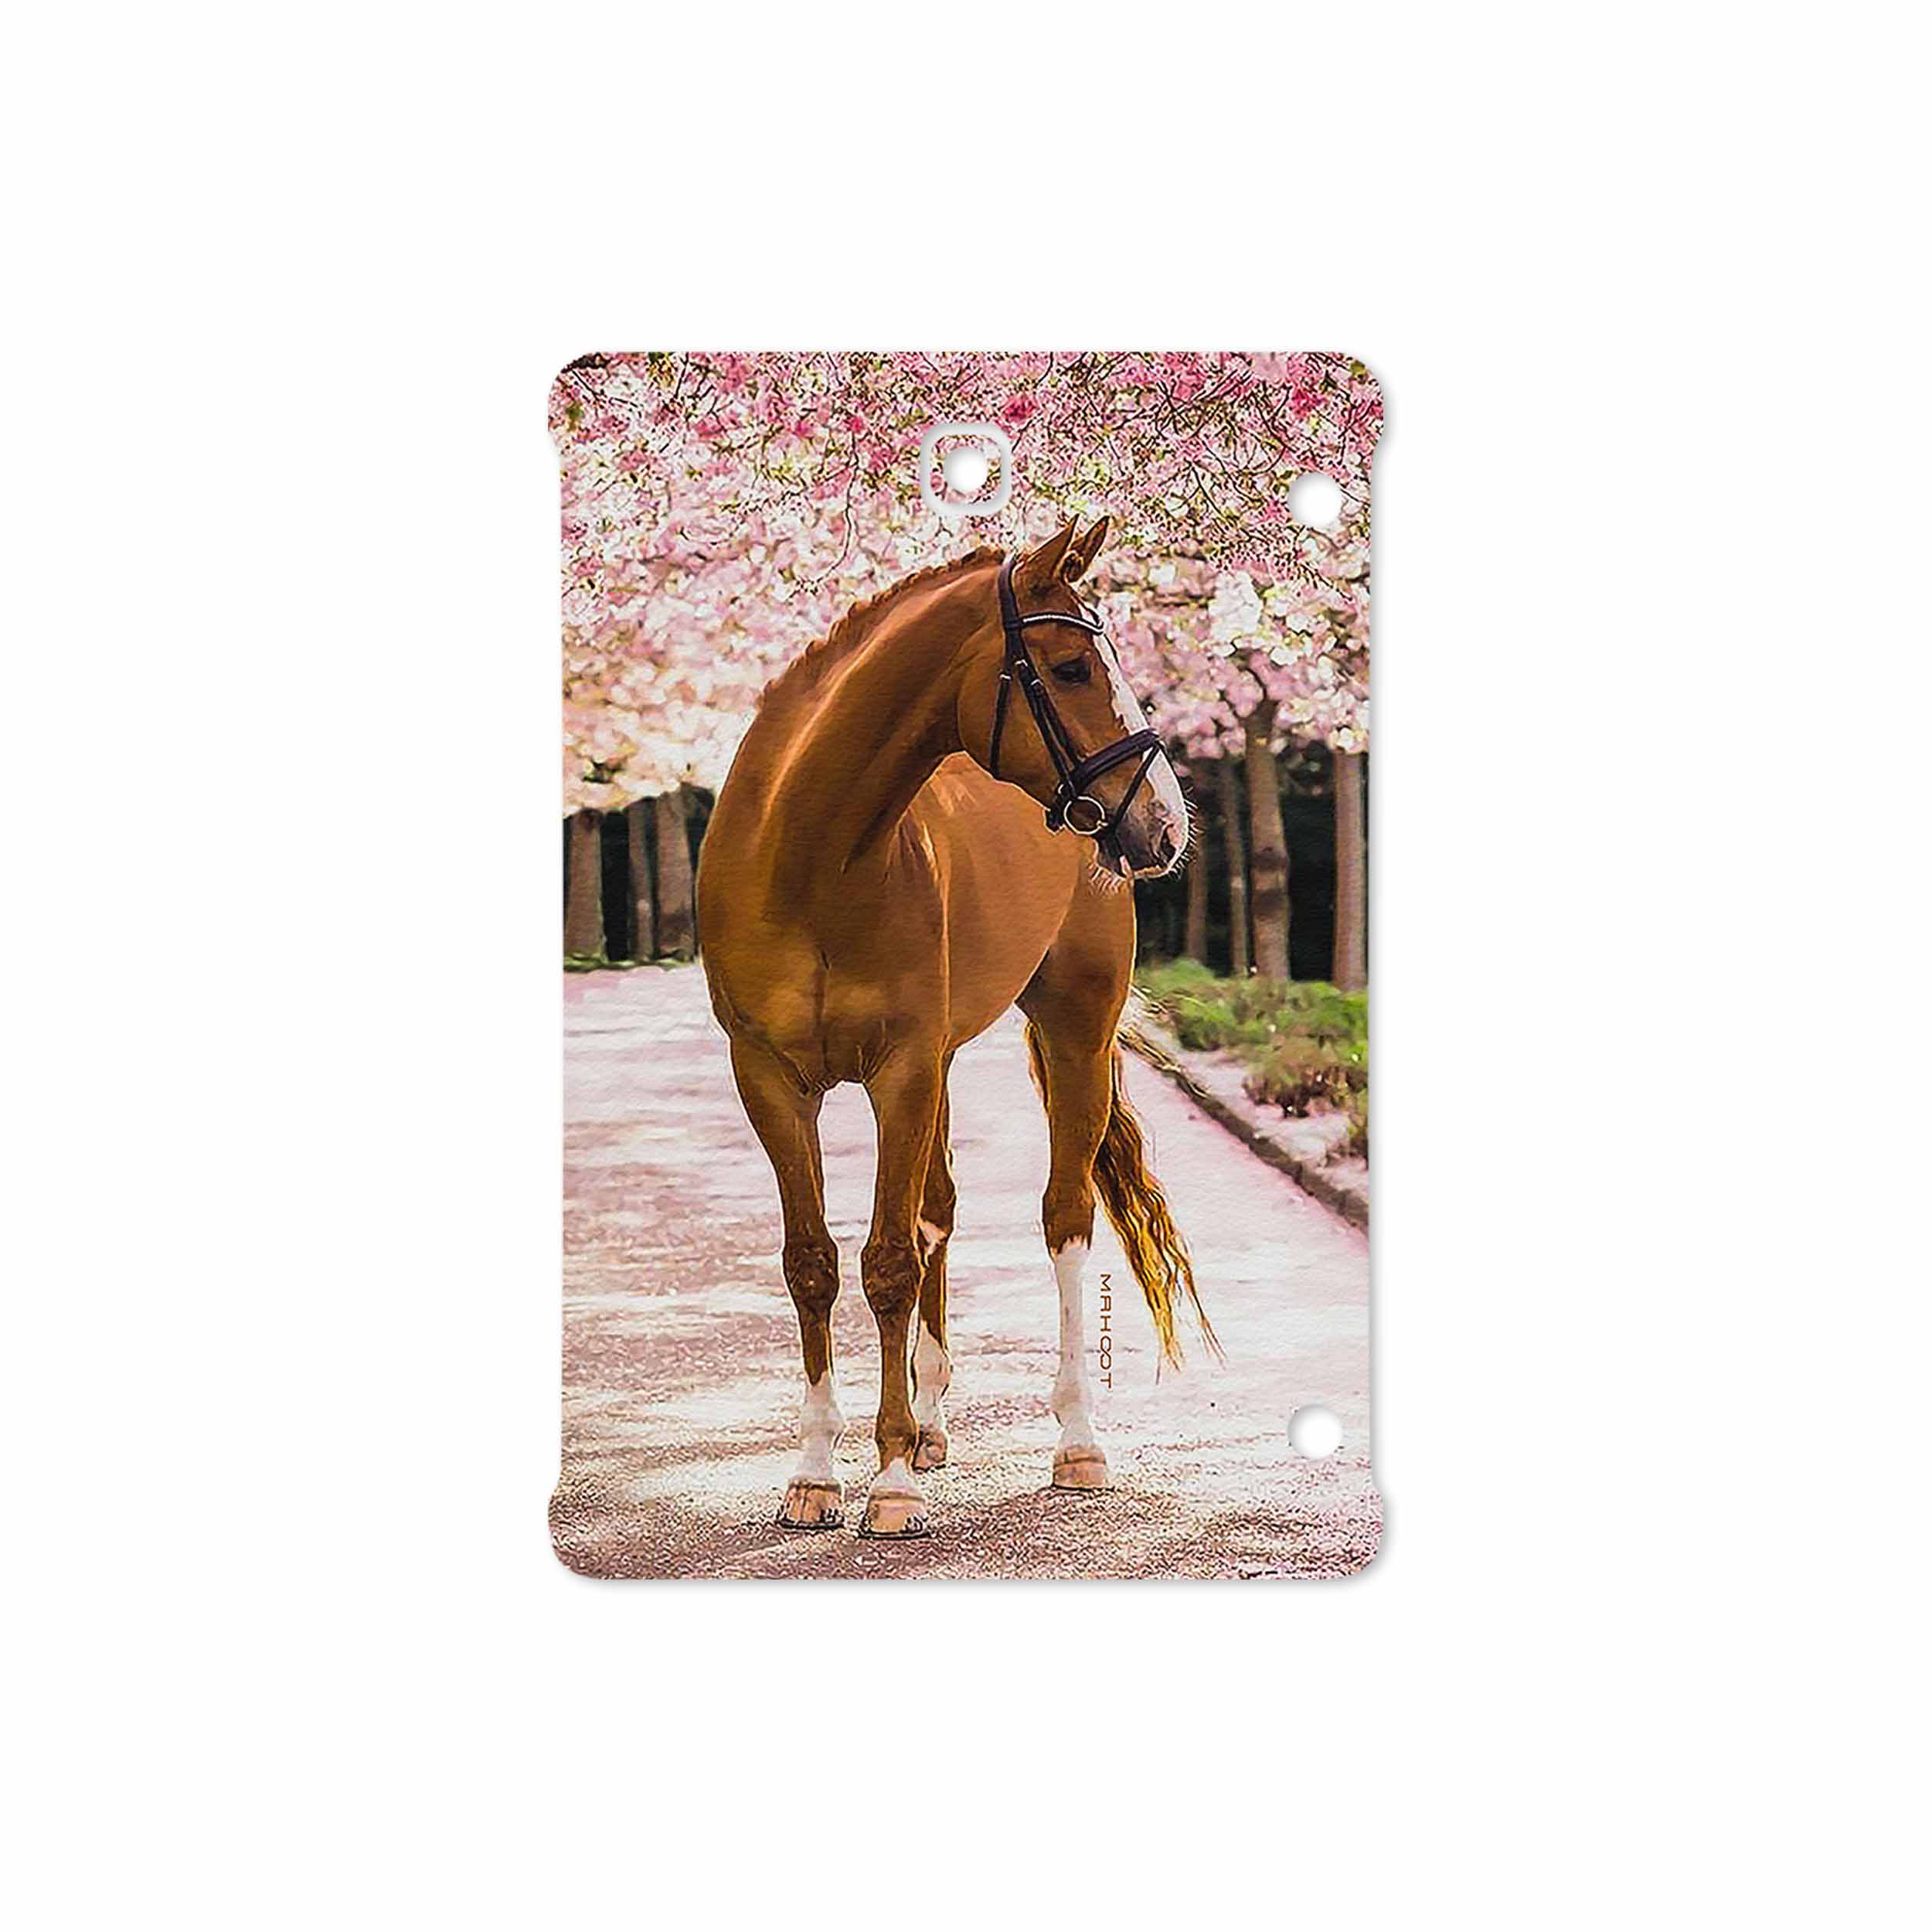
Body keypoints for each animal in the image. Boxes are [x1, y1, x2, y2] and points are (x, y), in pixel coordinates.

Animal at [697, 517, 1215, 1537]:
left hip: (1072, 1031)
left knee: (1063, 1217)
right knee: (937, 1208)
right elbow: (813, 1262)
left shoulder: (899, 1069)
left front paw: (890, 1480)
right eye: (1069, 667)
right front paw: (816, 1473)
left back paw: (1074, 1441)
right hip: (938, 1064)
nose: (1165, 825)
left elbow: (889, 1261)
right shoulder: (770, 1079)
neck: (809, 857)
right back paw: (932, 1424)